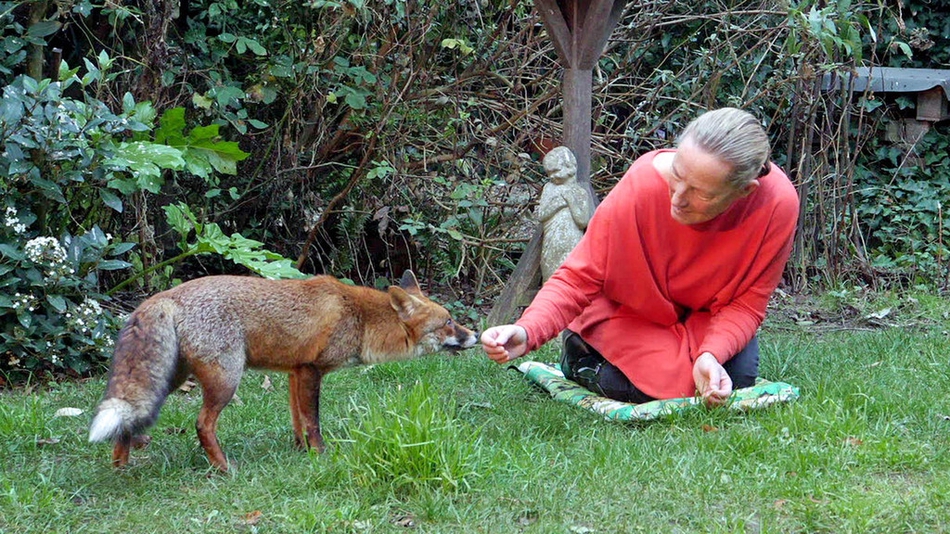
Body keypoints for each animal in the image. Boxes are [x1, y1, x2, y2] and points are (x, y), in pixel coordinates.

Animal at [87, 272, 476, 474]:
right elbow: (313, 421)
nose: (474, 335)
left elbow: (296, 419)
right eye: (448, 322)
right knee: (202, 425)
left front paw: (300, 451)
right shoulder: (312, 370)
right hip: (226, 380)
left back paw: (121, 467)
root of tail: (166, 295)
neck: (360, 319)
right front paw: (321, 456)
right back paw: (224, 468)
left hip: (172, 379)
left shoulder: (294, 371)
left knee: (129, 420)